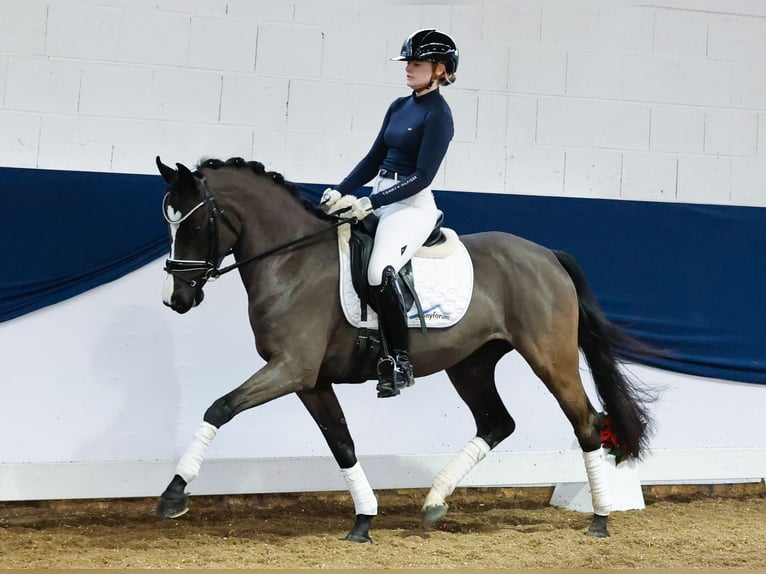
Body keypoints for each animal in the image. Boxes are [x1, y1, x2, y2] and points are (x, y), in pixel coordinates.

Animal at [154, 155, 656, 544]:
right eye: (168, 223)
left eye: (193, 222)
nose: (175, 299)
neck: (292, 259)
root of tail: (547, 255)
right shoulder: (310, 380)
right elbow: (341, 443)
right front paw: (363, 520)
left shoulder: (291, 368)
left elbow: (220, 407)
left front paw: (174, 495)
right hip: (471, 365)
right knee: (497, 422)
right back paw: (434, 501)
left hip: (550, 359)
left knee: (587, 422)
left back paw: (600, 518)